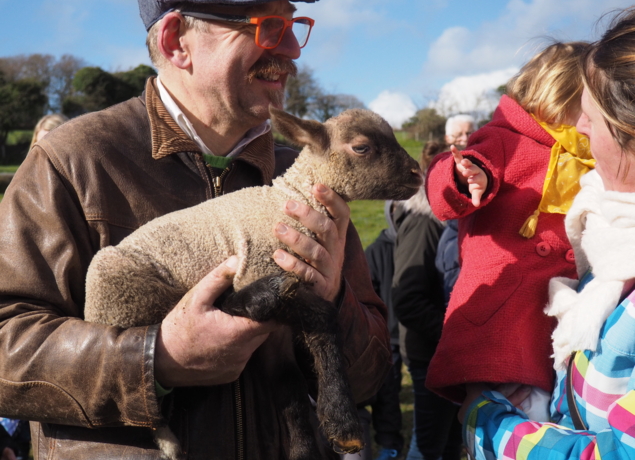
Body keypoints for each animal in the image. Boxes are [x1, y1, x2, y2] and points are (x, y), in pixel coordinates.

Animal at [83, 107, 422, 460]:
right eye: (361, 147)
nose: (417, 174)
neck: (293, 202)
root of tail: (93, 311)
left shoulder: (278, 336)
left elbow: (291, 391)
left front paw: (305, 449)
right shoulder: (259, 268)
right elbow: (325, 320)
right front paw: (344, 425)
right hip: (133, 292)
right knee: (198, 307)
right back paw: (260, 298)